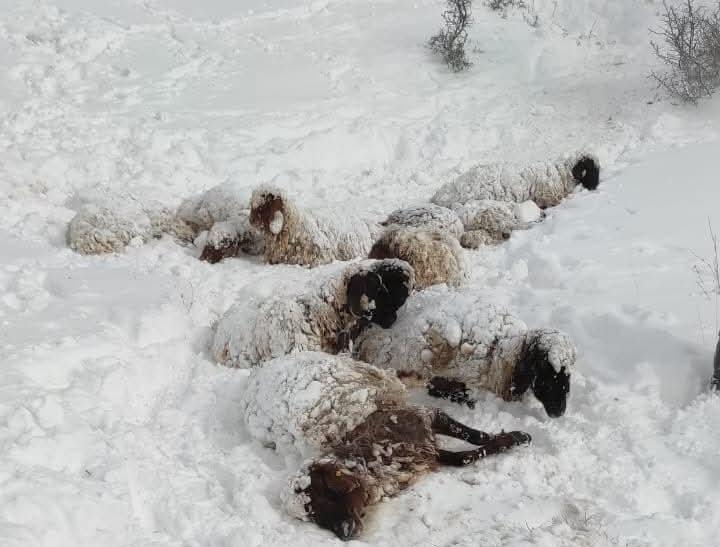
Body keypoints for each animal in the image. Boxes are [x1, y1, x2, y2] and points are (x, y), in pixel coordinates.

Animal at [242, 354, 536, 540]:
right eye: (314, 517)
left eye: (326, 492)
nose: (345, 533)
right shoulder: (422, 450)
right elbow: (463, 457)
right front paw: (509, 439)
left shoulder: (421, 419)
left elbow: (475, 435)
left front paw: (517, 436)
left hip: (382, 379)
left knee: (412, 377)